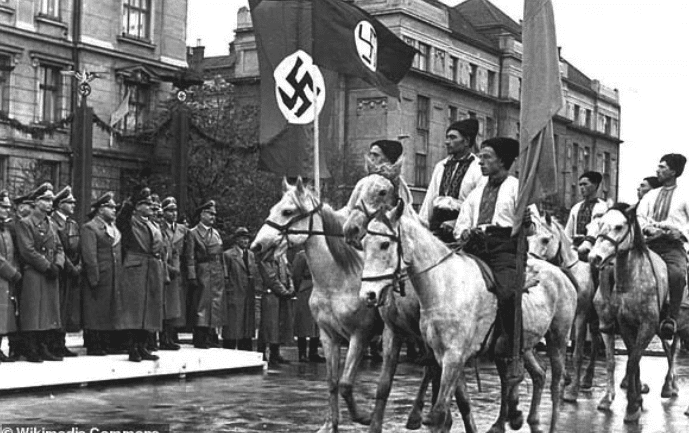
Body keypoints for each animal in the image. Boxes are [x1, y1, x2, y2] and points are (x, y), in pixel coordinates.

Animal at [360, 201, 576, 432]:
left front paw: (422, 418)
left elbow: (441, 409)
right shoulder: (430, 349)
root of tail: (560, 273)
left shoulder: (454, 356)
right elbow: (391, 388)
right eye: (363, 243)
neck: (444, 285)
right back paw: (520, 419)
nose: (368, 295)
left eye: (384, 244)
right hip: (520, 345)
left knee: (555, 382)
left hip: (557, 338)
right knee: (535, 375)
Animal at [524, 211, 600, 400]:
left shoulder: (580, 317)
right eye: (529, 238)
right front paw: (566, 378)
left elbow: (577, 353)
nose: (530, 261)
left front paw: (572, 391)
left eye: (545, 239)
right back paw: (587, 379)